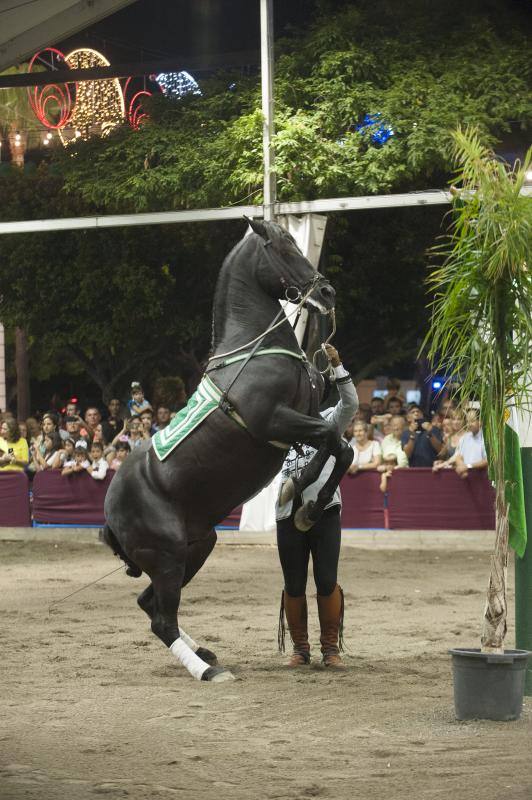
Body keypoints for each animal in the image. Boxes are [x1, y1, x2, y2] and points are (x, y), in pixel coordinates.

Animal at [103, 219, 354, 680]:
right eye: (283, 248)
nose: (326, 293)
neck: (253, 352)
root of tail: (111, 512)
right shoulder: (276, 421)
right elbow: (337, 445)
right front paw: (305, 502)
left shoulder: (305, 417)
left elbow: (338, 445)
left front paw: (302, 497)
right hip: (167, 554)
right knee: (162, 619)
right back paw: (208, 671)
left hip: (197, 546)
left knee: (150, 605)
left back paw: (204, 651)